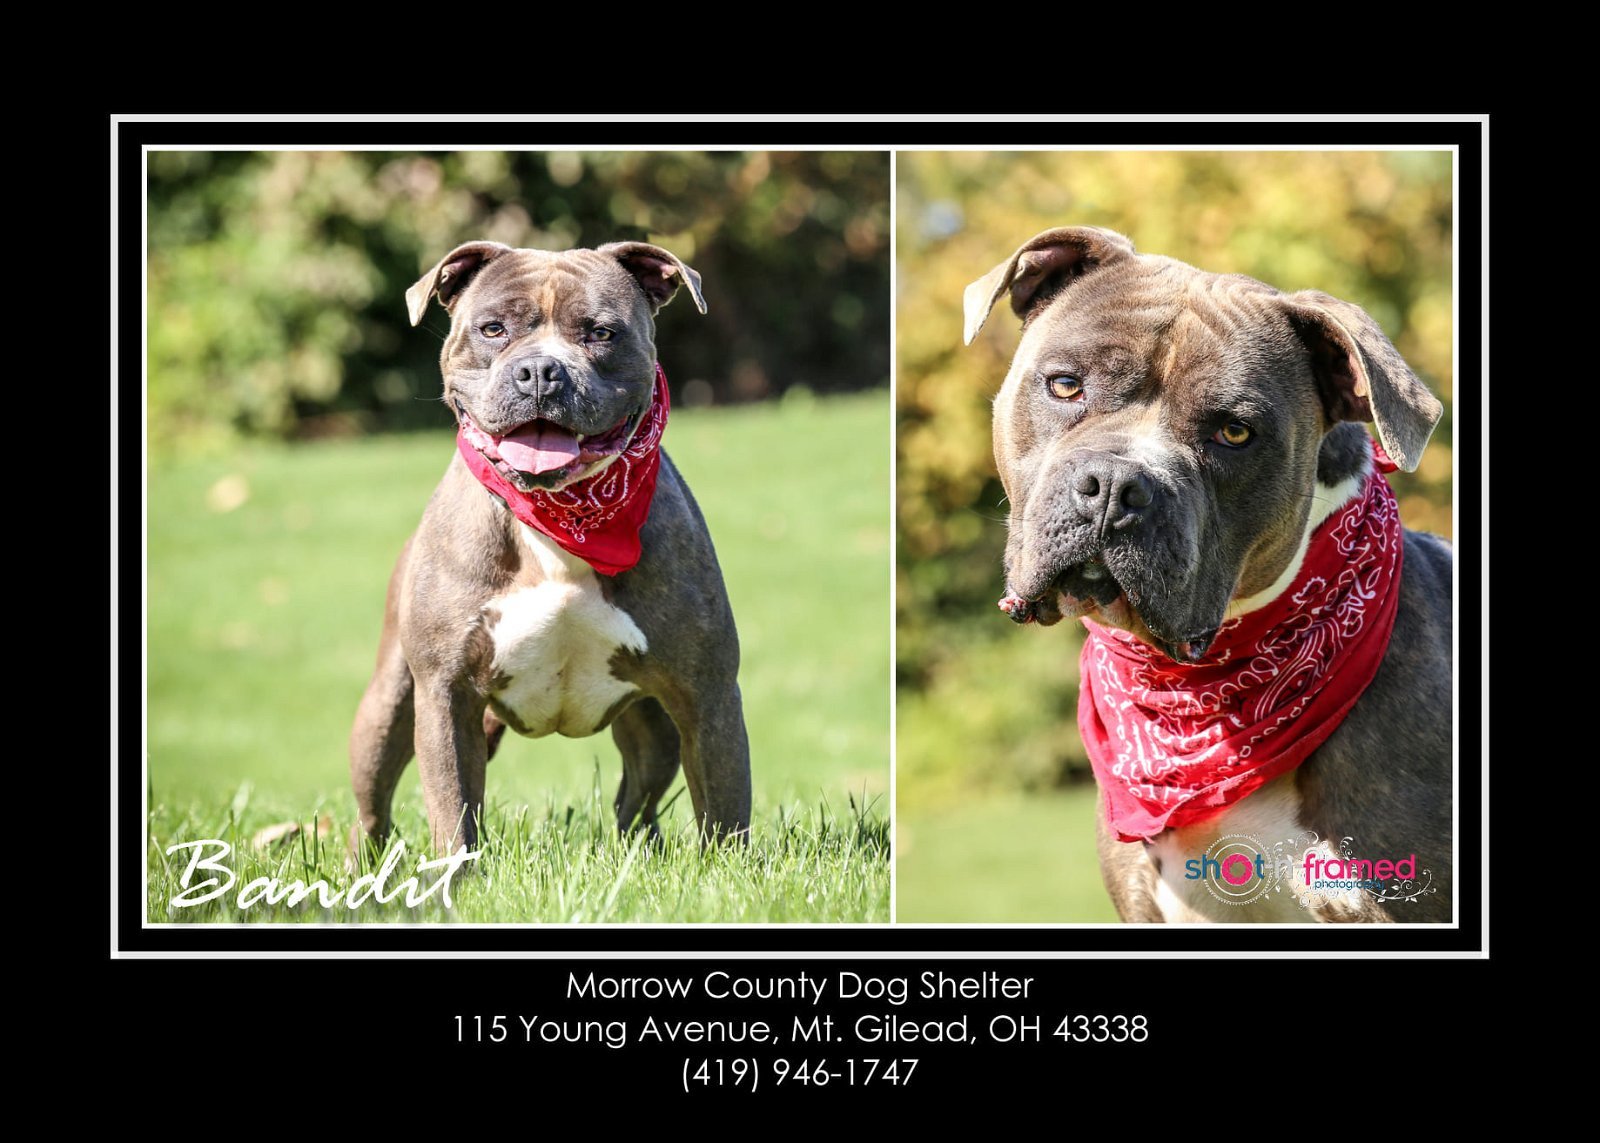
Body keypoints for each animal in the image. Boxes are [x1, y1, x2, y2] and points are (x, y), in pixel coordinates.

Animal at [350, 240, 748, 858]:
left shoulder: (709, 694)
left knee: (636, 800)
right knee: (372, 805)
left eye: (601, 332)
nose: (540, 371)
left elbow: (725, 811)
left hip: (654, 727)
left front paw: (722, 870)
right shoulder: (444, 693)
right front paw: (459, 877)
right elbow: (453, 808)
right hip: (388, 706)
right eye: (493, 329)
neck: (561, 516)